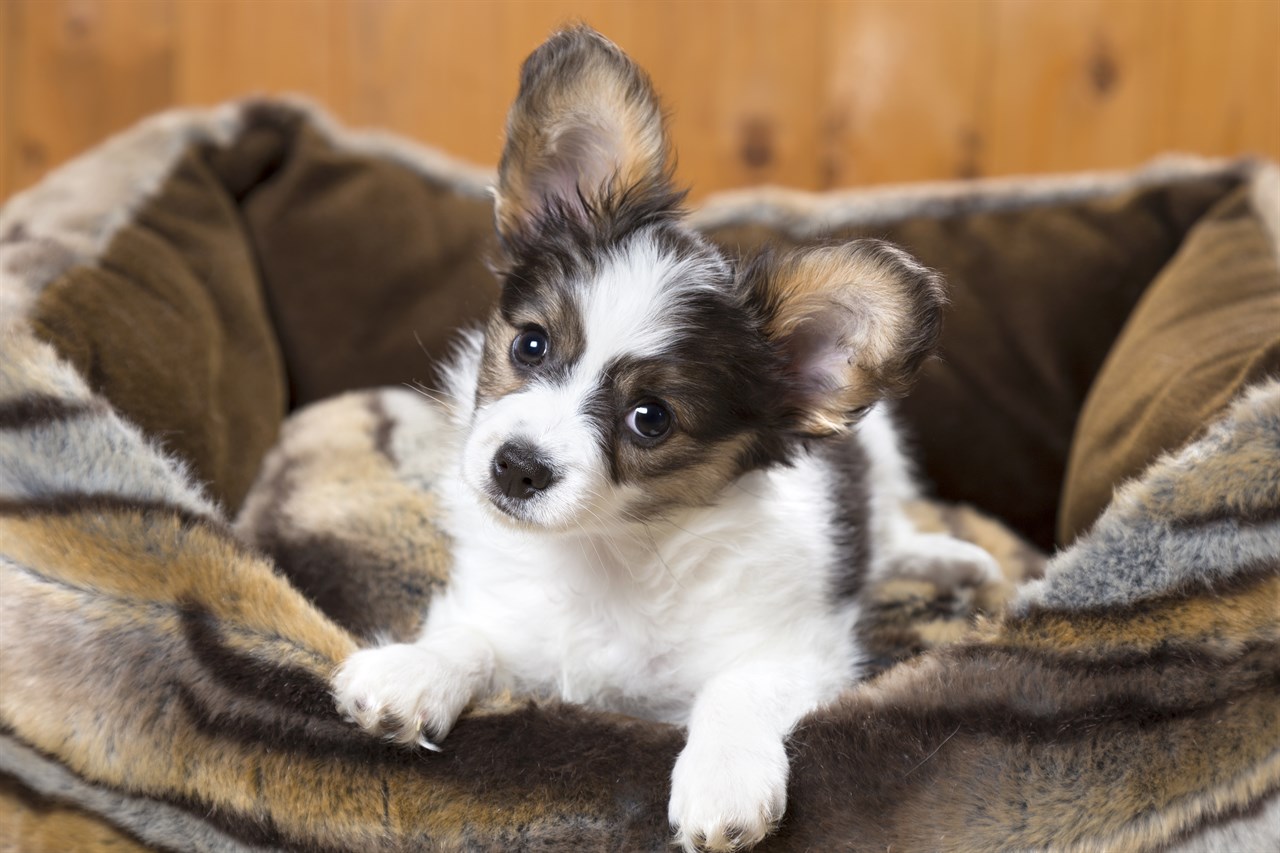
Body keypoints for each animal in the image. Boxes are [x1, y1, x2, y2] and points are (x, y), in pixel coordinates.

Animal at [332, 24, 998, 850]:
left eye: (650, 419)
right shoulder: (507, 611)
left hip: (883, 455)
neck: (608, 557)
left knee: (892, 534)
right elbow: (475, 636)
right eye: (529, 345)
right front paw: (414, 670)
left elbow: (734, 689)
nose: (517, 466)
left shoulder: (798, 649)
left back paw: (953, 560)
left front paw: (723, 778)